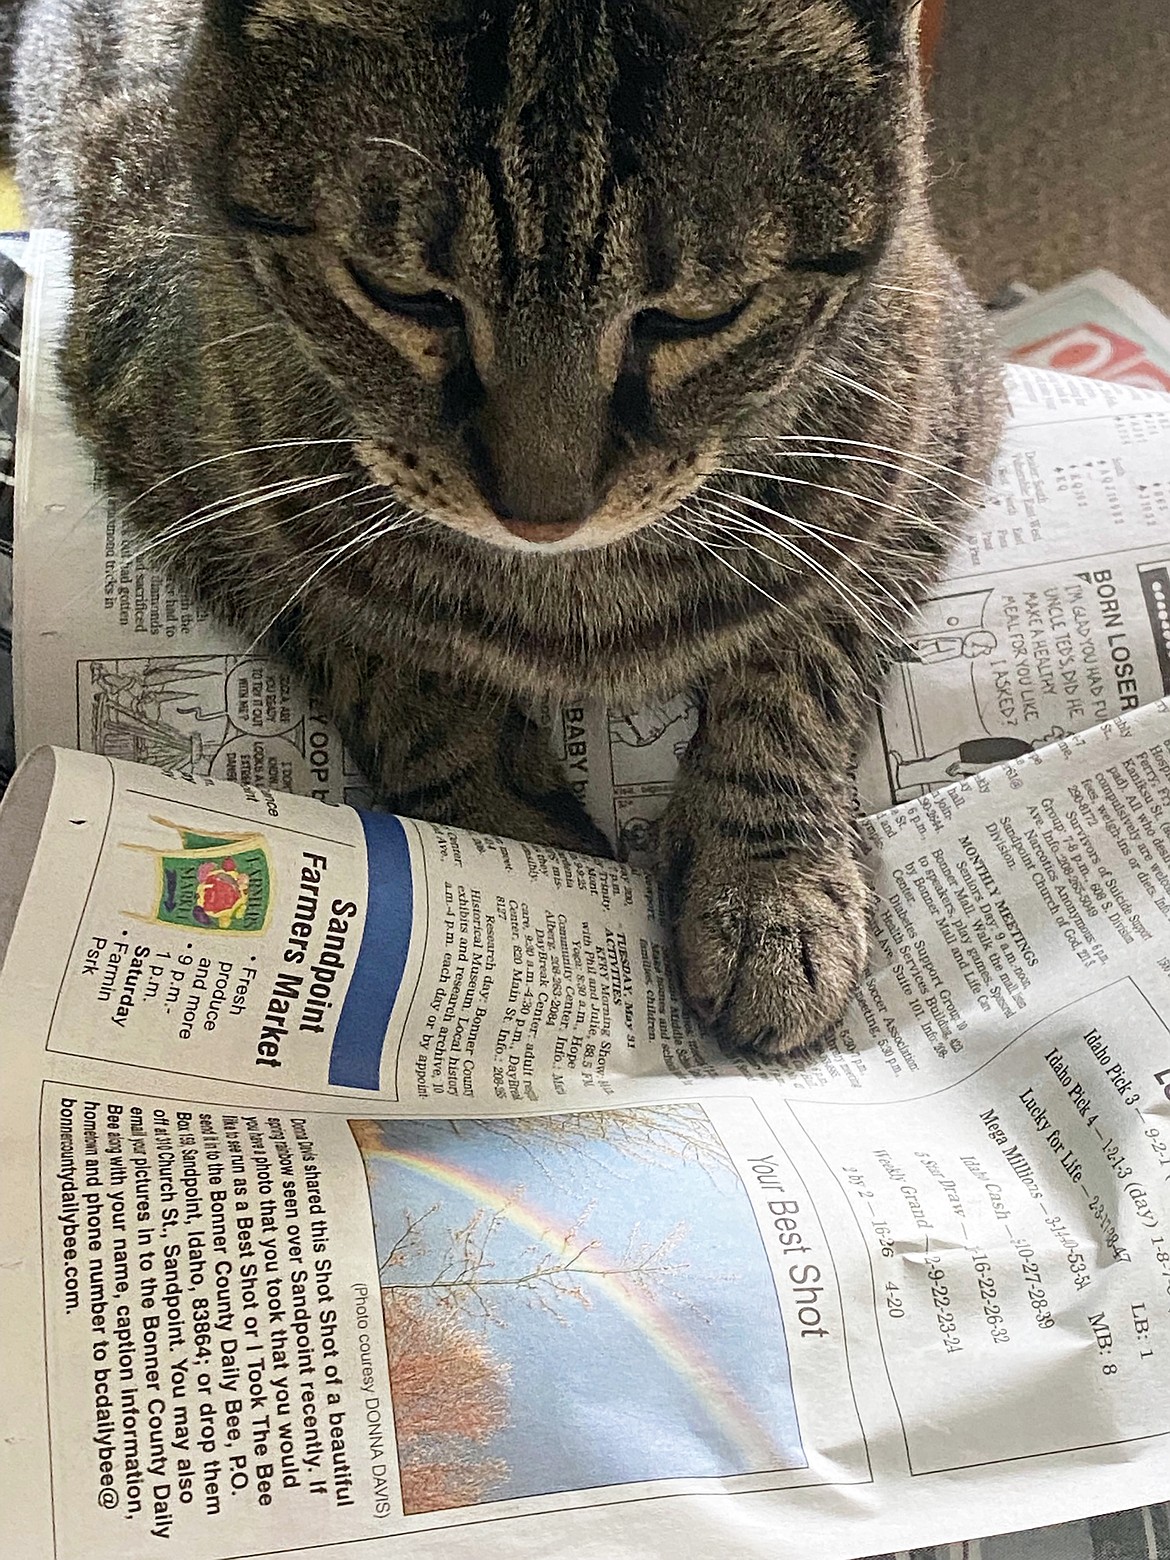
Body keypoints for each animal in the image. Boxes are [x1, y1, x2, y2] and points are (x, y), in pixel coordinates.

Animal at [9, 0, 1004, 1054]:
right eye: (403, 296)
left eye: (699, 317)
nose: (542, 514)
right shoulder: (179, 464)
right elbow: (390, 666)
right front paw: (508, 845)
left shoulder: (930, 438)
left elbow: (803, 668)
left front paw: (771, 888)